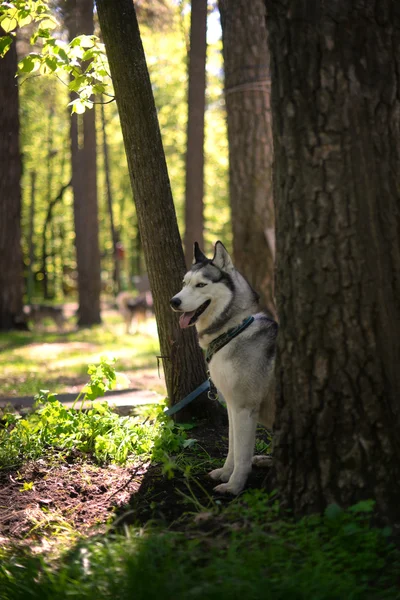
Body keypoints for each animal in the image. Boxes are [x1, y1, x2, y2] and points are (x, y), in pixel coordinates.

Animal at [170, 241, 276, 494]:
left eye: (201, 285)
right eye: (184, 283)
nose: (173, 301)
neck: (233, 331)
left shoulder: (244, 408)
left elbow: (242, 454)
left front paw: (234, 486)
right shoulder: (231, 406)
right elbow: (232, 448)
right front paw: (225, 473)